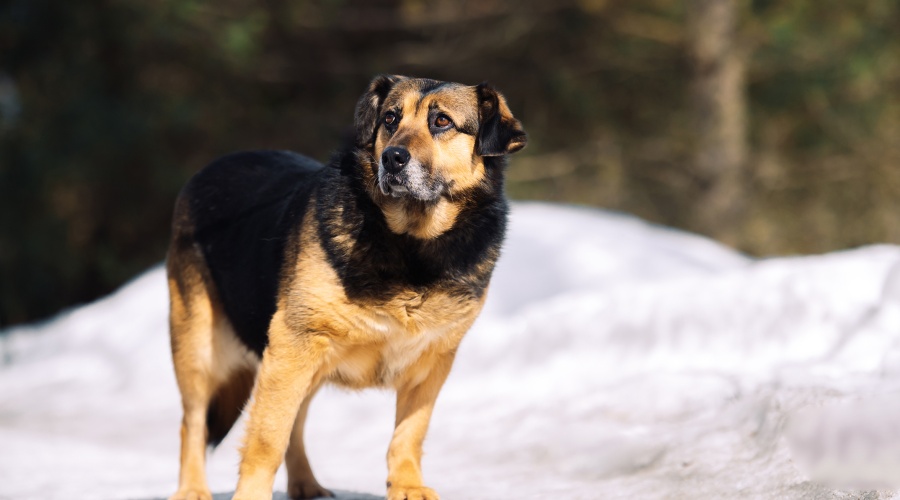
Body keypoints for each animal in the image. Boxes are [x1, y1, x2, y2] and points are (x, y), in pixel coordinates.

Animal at [166, 75, 527, 500]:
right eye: (390, 118)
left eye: (441, 121)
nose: (393, 158)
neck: (411, 244)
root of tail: (212, 166)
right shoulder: (293, 343)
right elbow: (267, 438)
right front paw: (251, 494)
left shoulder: (432, 361)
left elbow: (410, 433)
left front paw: (407, 485)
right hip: (201, 349)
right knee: (193, 422)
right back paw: (192, 490)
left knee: (295, 423)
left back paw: (306, 484)